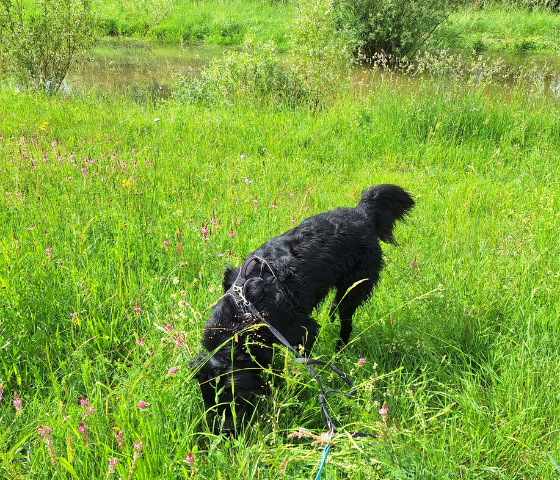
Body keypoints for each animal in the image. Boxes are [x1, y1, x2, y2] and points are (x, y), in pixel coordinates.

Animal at [191, 184, 414, 433]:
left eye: (234, 401)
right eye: (209, 403)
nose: (226, 433)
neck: (243, 313)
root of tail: (362, 213)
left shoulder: (303, 330)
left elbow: (300, 363)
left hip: (354, 288)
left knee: (346, 323)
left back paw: (338, 352)